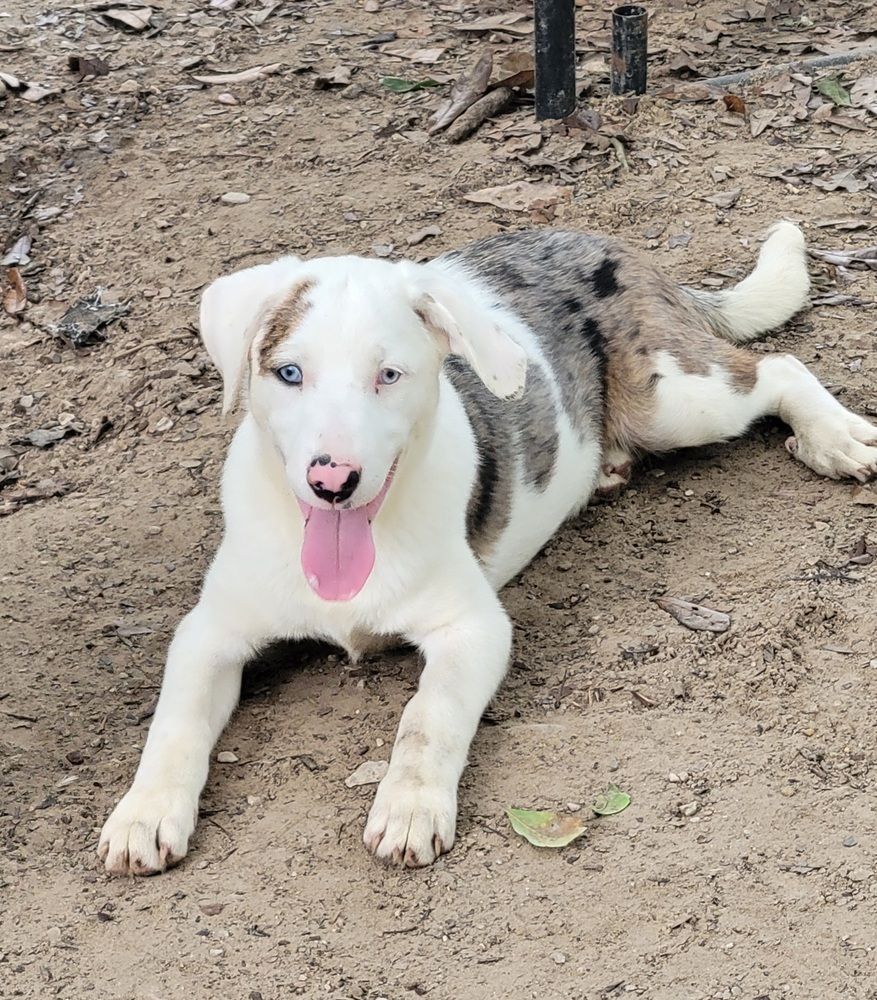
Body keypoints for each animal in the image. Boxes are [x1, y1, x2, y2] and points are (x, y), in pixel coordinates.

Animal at [97, 221, 876, 876]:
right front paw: (143, 813)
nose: (332, 482)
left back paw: (834, 436)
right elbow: (174, 725)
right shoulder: (209, 633)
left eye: (390, 375)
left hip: (676, 399)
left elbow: (426, 717)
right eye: (288, 373)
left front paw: (410, 804)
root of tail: (614, 244)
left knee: (776, 367)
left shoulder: (473, 629)